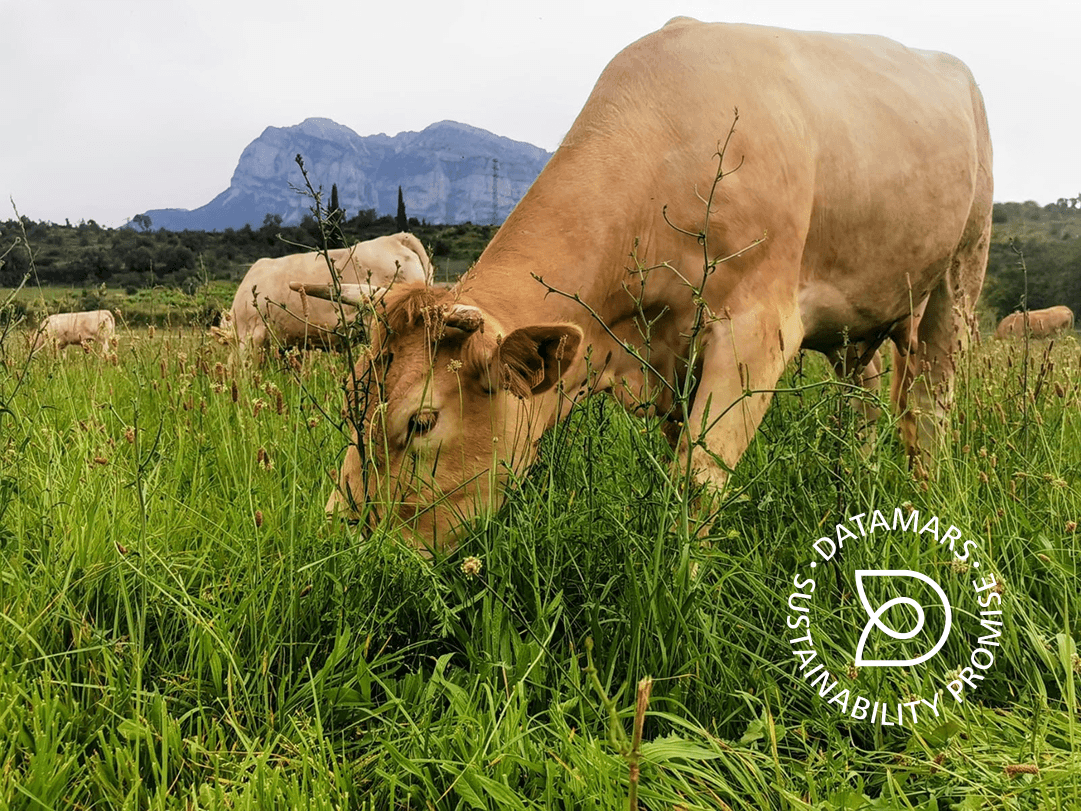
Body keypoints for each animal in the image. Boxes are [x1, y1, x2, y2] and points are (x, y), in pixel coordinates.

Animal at [299, 18, 992, 551]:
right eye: (352, 399)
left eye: (421, 422)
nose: (343, 537)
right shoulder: (669, 358)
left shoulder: (755, 331)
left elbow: (695, 480)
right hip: (857, 318)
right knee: (864, 397)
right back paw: (858, 484)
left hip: (961, 272)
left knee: (929, 408)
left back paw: (926, 503)